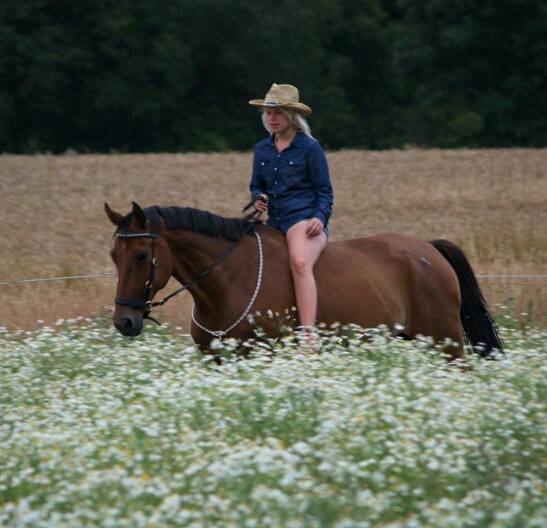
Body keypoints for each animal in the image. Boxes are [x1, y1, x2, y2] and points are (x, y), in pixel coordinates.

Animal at [105, 202, 504, 358]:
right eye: (113, 256)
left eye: (141, 256)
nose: (124, 321)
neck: (226, 282)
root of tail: (429, 251)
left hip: (446, 342)